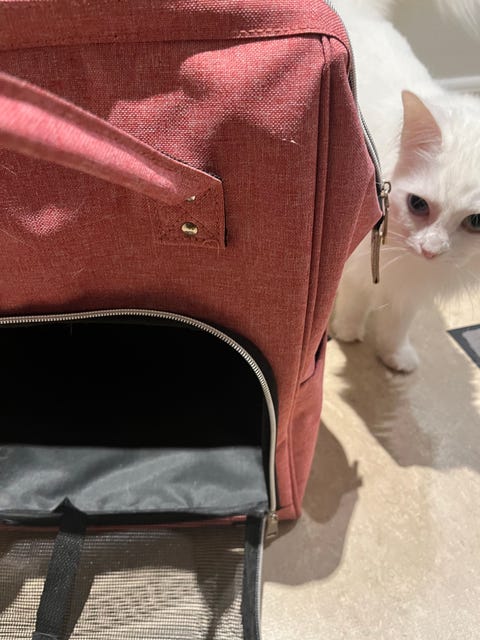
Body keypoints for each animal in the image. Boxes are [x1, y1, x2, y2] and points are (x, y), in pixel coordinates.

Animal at [329, 0, 480, 372]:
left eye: (475, 222)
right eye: (418, 204)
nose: (431, 250)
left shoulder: (412, 287)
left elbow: (398, 324)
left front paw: (395, 357)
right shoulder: (359, 260)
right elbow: (355, 298)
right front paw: (347, 332)